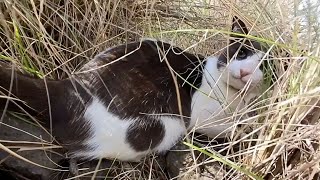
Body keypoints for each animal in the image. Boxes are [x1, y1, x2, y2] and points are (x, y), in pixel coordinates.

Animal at [0, 16, 264, 162]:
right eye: (242, 53)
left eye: (265, 65)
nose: (245, 72)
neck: (236, 97)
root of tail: (70, 85)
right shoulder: (201, 116)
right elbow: (232, 128)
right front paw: (249, 130)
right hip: (167, 125)